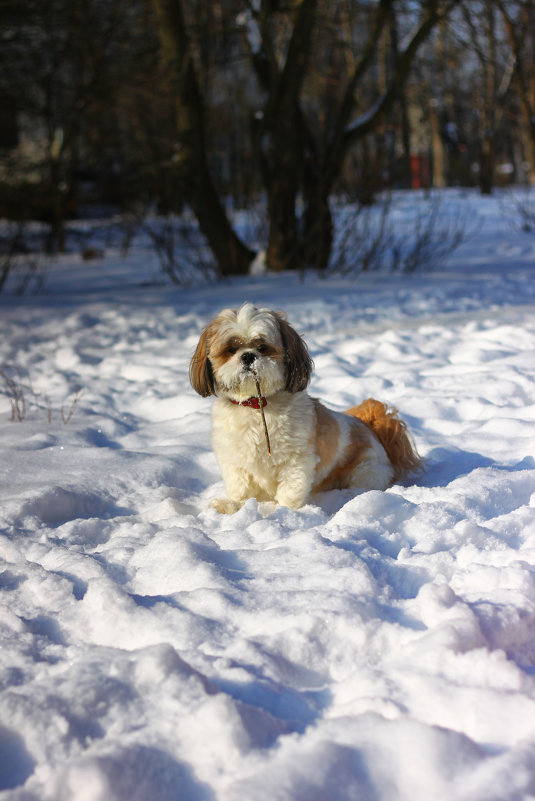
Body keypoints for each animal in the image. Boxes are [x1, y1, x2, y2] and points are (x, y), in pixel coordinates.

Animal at [191, 300, 420, 512]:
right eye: (231, 349)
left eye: (263, 347)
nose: (248, 356)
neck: (257, 405)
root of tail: (371, 427)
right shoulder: (235, 460)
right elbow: (241, 487)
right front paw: (233, 505)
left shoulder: (296, 460)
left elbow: (290, 490)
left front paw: (286, 513)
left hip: (366, 470)